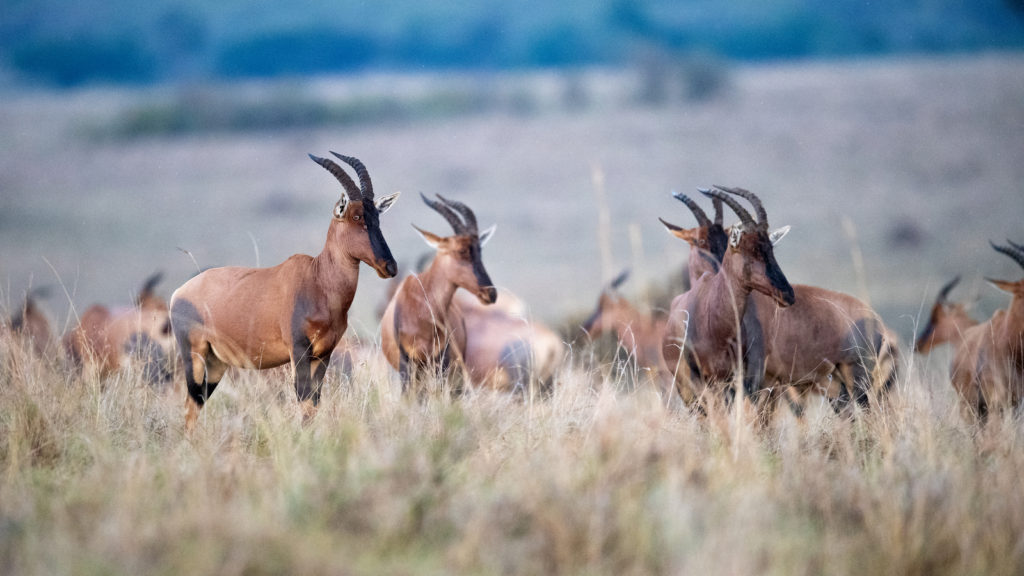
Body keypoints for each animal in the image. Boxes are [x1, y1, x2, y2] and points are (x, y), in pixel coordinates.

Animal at [169, 150, 397, 428]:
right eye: (356, 217)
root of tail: (178, 293)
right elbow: (304, 400)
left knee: (197, 404)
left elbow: (313, 404)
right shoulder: (298, 351)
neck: (316, 278)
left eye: (377, 217)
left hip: (215, 363)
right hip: (195, 356)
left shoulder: (324, 354)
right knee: (190, 406)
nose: (389, 266)